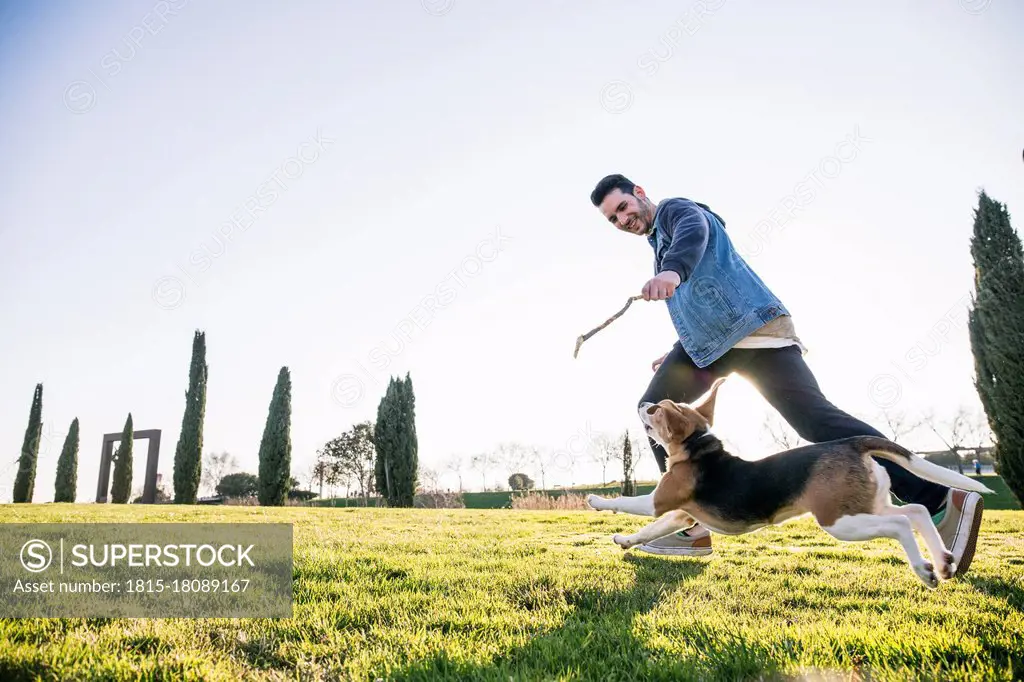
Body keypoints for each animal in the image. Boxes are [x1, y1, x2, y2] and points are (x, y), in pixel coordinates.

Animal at [589, 374, 995, 585]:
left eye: (656, 411)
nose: (644, 403)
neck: (698, 448)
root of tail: (851, 442)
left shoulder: (660, 501)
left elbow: (628, 504)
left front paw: (597, 501)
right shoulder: (680, 514)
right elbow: (648, 531)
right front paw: (625, 541)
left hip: (839, 520)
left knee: (899, 525)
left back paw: (924, 569)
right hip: (864, 505)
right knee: (915, 512)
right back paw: (942, 560)